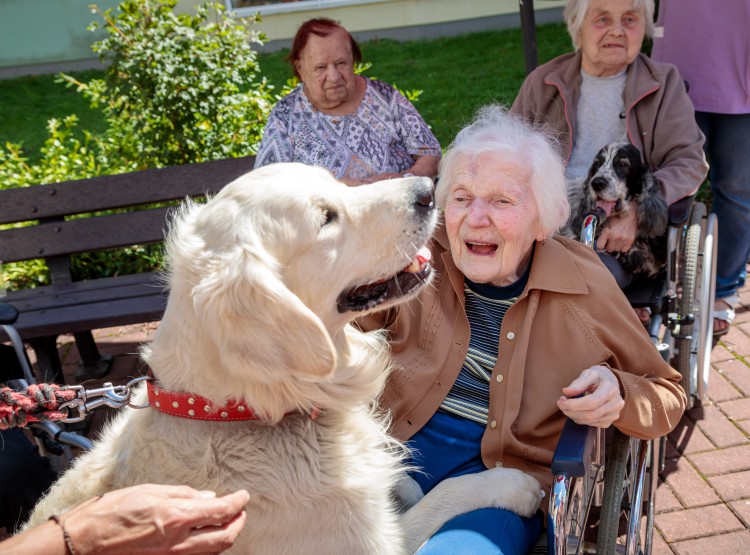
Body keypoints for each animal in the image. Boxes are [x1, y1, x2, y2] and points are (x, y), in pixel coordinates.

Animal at [23, 163, 540, 552]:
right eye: (327, 218)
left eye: (337, 184)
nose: (428, 190)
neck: (237, 411)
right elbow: (441, 497)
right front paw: (511, 484)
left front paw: (403, 481)